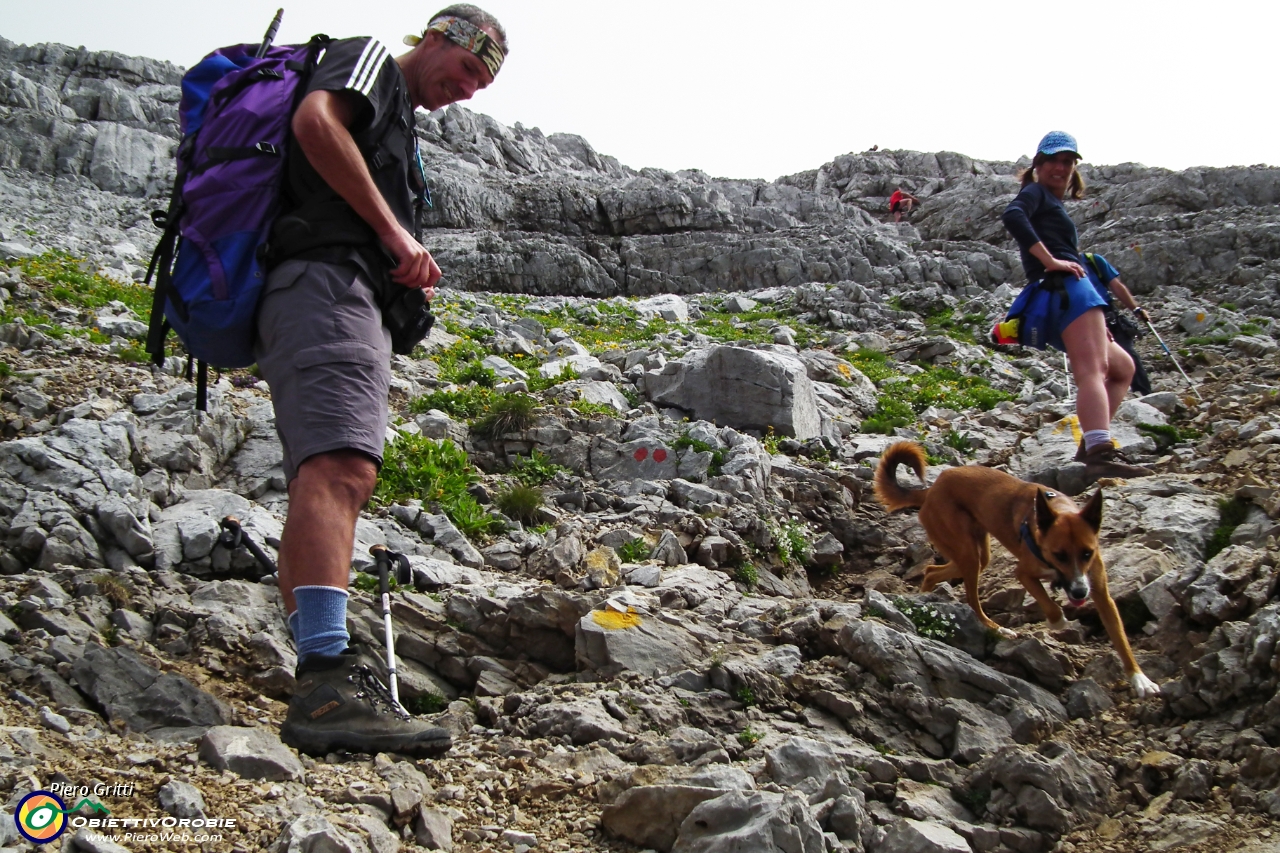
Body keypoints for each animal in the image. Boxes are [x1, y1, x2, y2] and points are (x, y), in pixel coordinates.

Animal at [870, 440, 1162, 696]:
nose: (1079, 593)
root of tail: (931, 488)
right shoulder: (1024, 574)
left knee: (932, 571)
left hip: (977, 553)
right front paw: (1057, 622)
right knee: (971, 600)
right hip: (969, 554)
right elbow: (1051, 606)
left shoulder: (1101, 593)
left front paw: (1140, 679)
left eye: (1087, 553)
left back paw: (924, 597)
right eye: (1059, 555)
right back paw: (995, 627)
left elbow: (1121, 639)